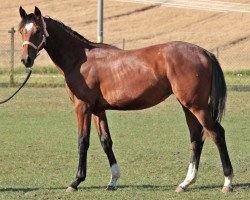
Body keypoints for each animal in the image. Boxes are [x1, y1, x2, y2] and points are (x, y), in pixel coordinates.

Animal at [18, 7, 233, 193]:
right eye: (21, 31)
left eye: (37, 31)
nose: (26, 60)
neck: (79, 60)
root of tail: (204, 52)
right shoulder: (98, 110)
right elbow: (106, 142)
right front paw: (113, 180)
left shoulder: (83, 108)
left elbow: (82, 141)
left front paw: (76, 181)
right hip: (187, 106)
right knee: (196, 138)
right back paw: (185, 183)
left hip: (197, 107)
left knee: (217, 134)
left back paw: (228, 182)